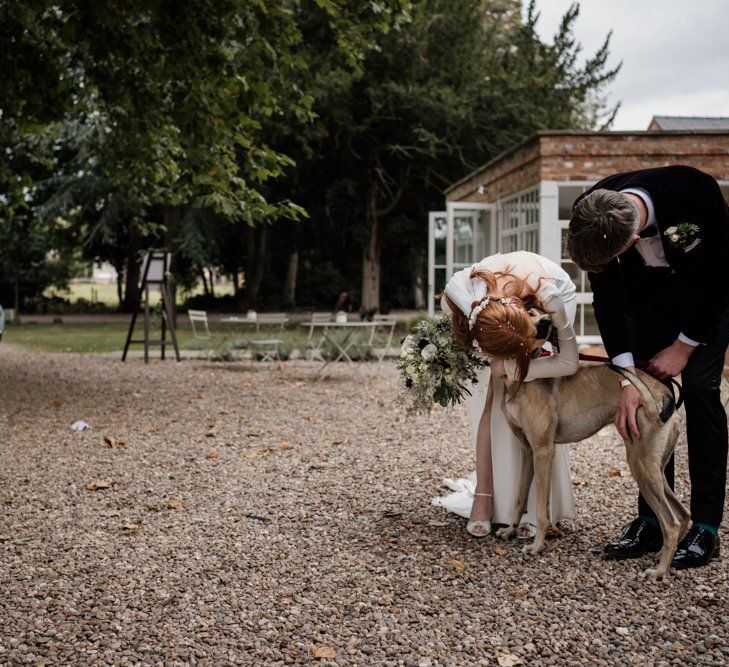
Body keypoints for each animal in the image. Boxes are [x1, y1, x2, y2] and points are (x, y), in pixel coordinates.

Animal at [492, 360, 684, 580]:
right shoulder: (527, 450)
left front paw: (537, 546)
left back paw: (660, 571)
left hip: (641, 467)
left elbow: (541, 510)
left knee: (672, 524)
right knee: (683, 514)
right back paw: (664, 556)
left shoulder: (543, 451)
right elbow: (519, 498)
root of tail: (665, 396)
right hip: (655, 471)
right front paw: (509, 530)